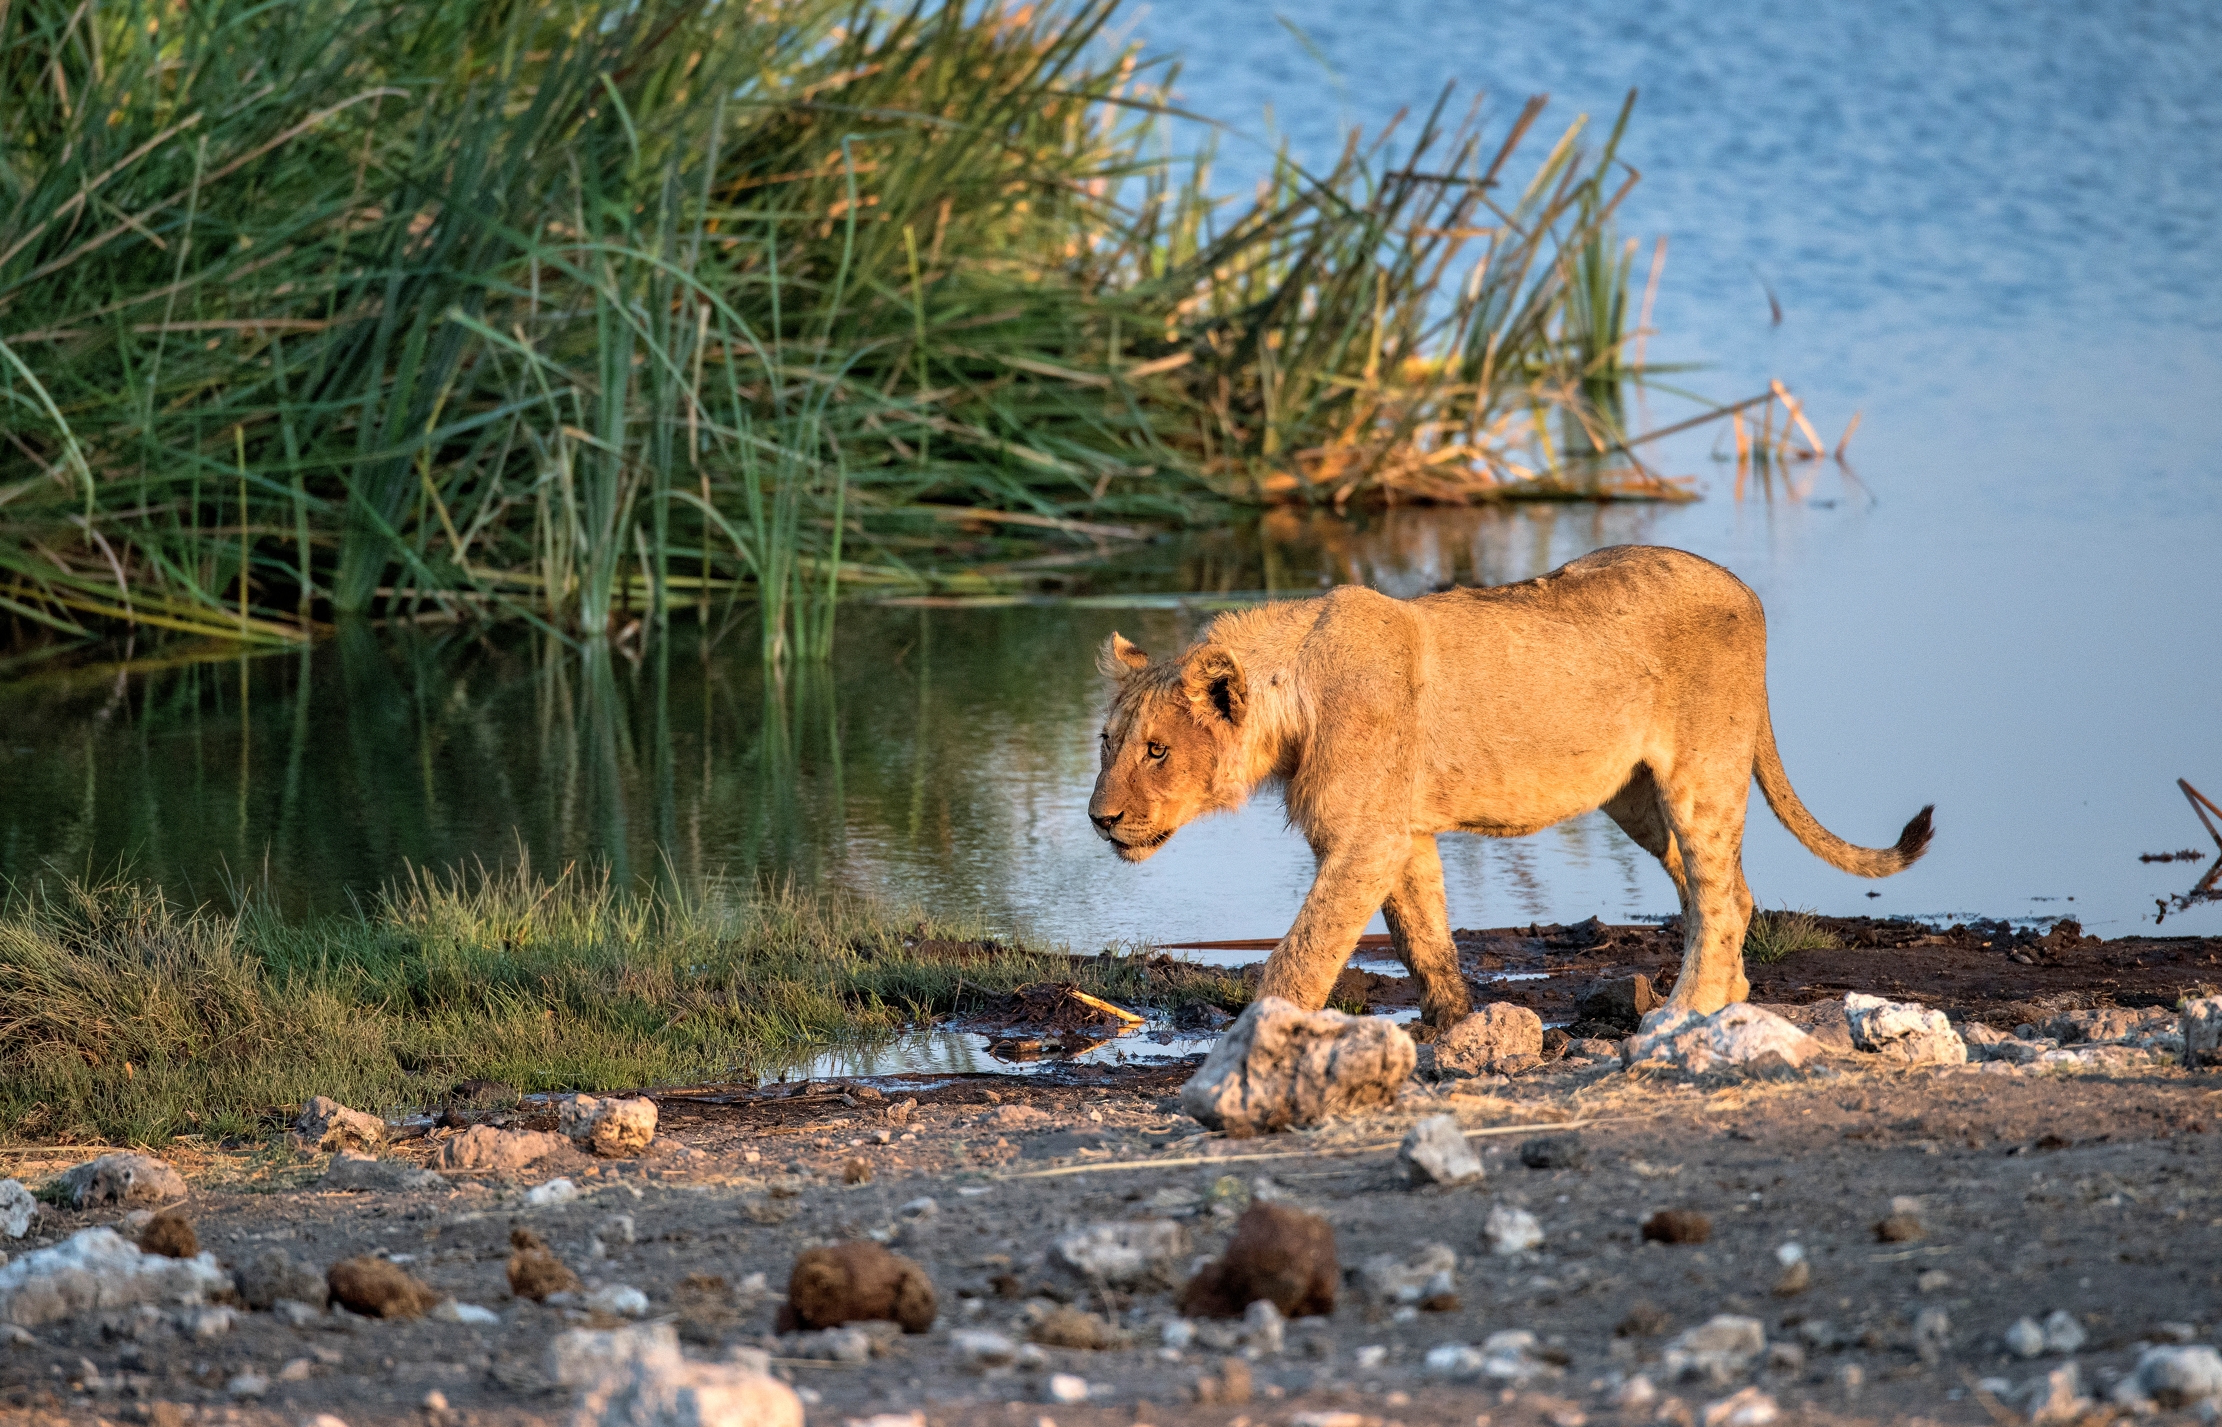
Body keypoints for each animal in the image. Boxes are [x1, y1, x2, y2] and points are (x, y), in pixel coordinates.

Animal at [1087, 544, 1932, 1030]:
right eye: (1106, 744)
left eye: (1157, 749)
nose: (1100, 817)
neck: (1292, 692)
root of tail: (1744, 589)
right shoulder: (1402, 833)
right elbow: (1424, 936)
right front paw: (1457, 1024)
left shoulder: (1364, 838)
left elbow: (1304, 949)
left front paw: (1258, 1033)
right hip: (1637, 797)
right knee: (1722, 890)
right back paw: (1718, 1002)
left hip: (1702, 770)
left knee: (1721, 894)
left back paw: (1683, 1012)